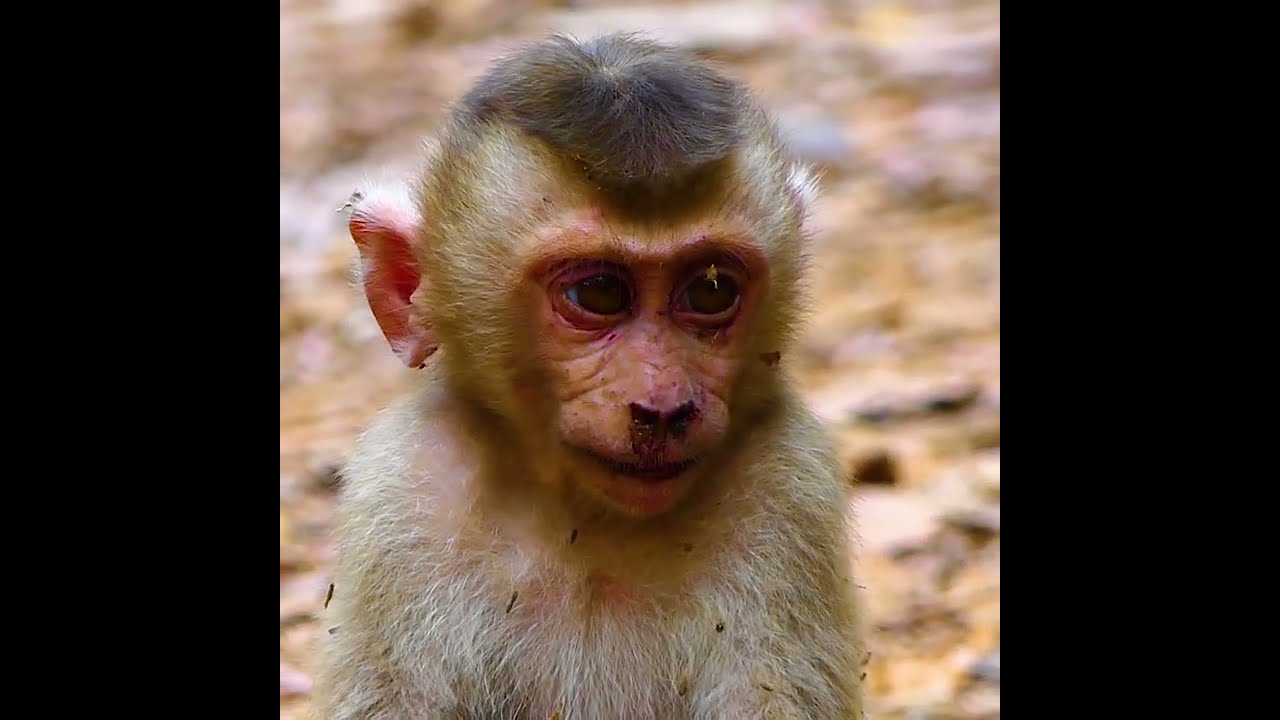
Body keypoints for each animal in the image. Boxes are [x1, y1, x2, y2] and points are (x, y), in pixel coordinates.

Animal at [312, 33, 866, 719]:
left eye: (710, 290)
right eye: (598, 293)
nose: (663, 406)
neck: (585, 518)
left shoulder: (790, 486)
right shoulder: (404, 487)